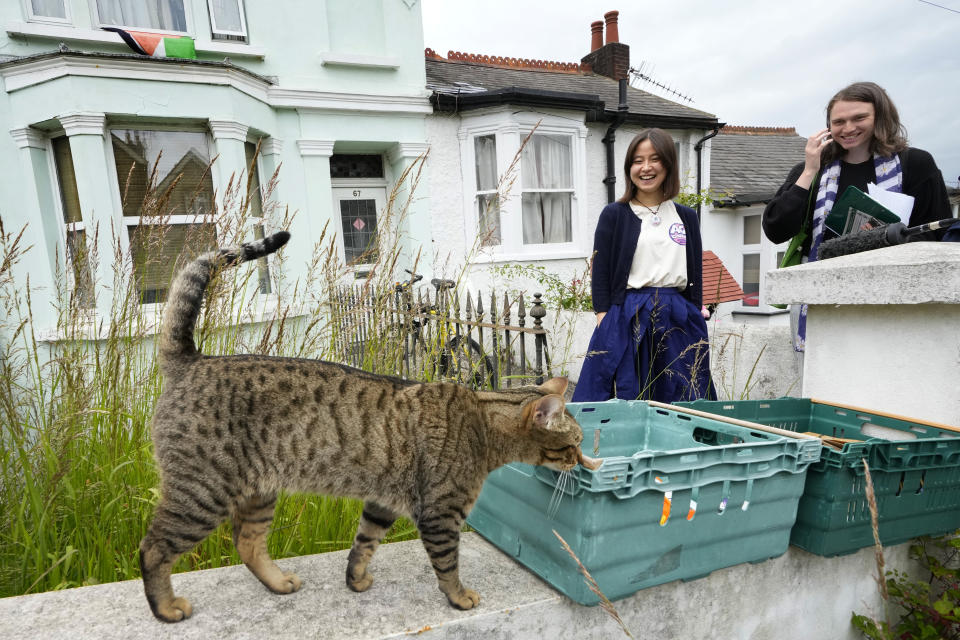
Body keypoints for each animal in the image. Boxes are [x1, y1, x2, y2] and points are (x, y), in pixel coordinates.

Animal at [141, 232, 600, 624]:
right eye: (573, 445)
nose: (583, 463)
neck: (482, 420)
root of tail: (193, 359)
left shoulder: (383, 503)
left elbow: (363, 544)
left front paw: (355, 579)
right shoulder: (440, 513)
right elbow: (447, 564)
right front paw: (459, 597)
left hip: (257, 491)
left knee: (247, 542)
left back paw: (278, 581)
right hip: (203, 492)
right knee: (153, 548)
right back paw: (165, 607)